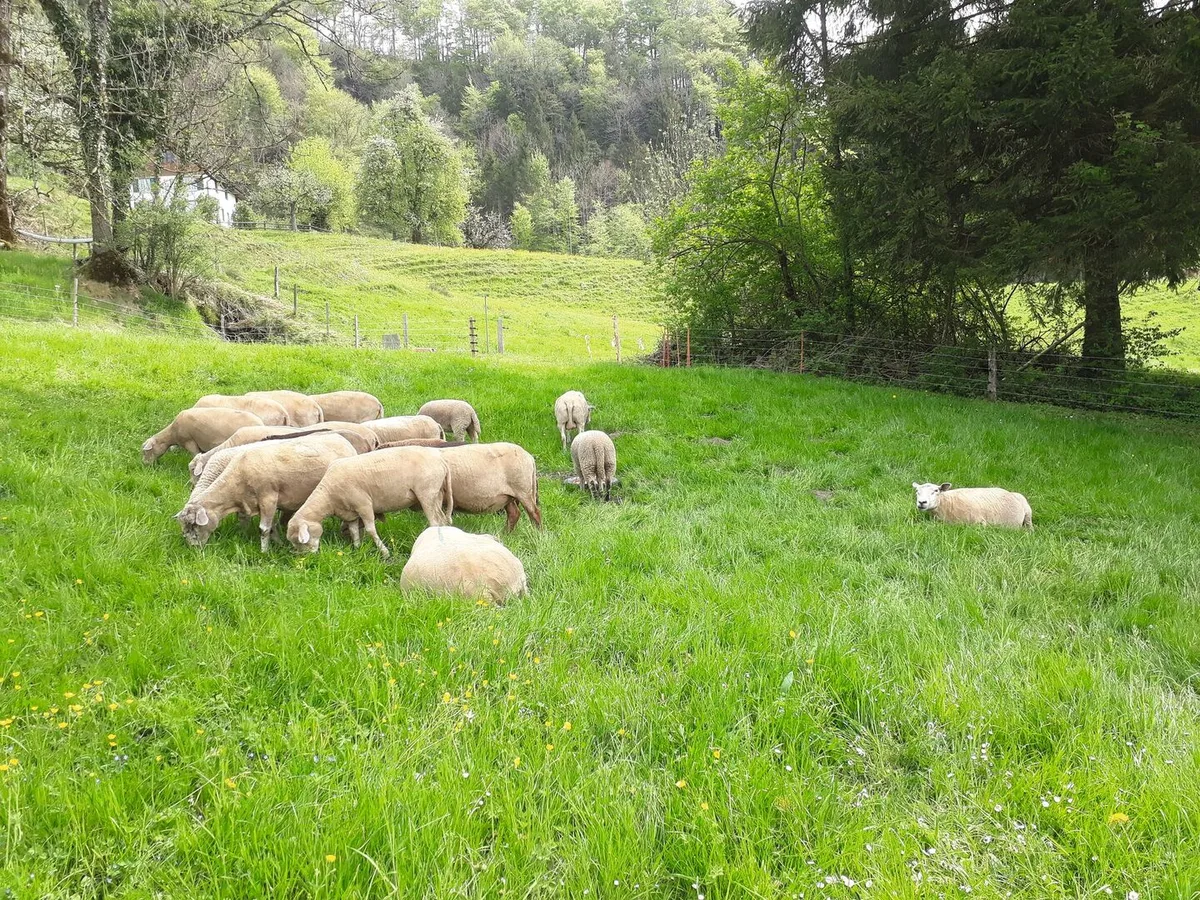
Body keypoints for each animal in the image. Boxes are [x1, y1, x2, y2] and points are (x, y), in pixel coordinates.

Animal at [174, 432, 357, 551]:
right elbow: (269, 525)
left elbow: (264, 528)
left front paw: (264, 551)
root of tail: (343, 441)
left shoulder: (268, 498)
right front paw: (276, 542)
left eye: (194, 525)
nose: (193, 549)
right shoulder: (253, 503)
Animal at [287, 447, 453, 557]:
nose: (308, 558)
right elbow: (354, 531)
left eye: (301, 542)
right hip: (437, 494)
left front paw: (385, 553)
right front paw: (357, 549)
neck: (329, 497)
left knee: (434, 521)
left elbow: (370, 530)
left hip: (427, 493)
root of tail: (442, 461)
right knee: (441, 519)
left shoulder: (364, 504)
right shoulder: (350, 512)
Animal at [381, 440, 541, 531]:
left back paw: (538, 534)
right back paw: (505, 535)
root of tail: (529, 456)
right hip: (508, 496)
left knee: (535, 513)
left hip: (523, 489)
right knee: (514, 514)